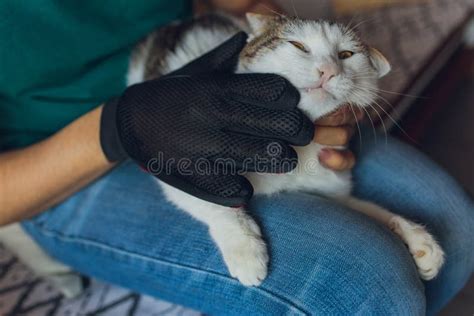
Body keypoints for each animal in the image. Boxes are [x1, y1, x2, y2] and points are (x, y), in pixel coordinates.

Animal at [127, 13, 444, 286]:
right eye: (298, 45)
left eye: (346, 55)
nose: (328, 71)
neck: (296, 146)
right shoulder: (175, 160)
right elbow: (213, 202)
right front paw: (245, 247)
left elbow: (367, 209)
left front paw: (415, 236)